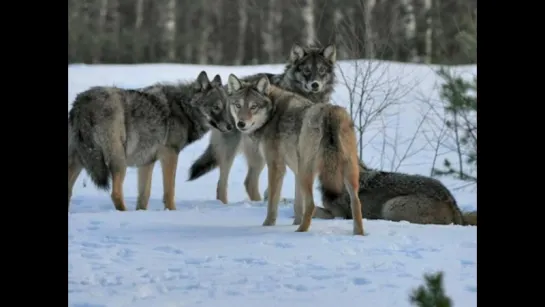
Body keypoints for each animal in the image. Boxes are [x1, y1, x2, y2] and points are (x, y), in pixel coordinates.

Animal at [67, 71, 232, 213]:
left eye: (227, 107)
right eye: (216, 107)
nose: (231, 126)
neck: (182, 109)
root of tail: (82, 103)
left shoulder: (147, 162)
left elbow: (144, 195)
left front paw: (142, 213)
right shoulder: (170, 155)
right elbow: (169, 191)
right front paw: (172, 212)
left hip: (80, 161)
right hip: (118, 161)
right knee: (115, 193)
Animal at [187, 43, 336, 206]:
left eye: (321, 70)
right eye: (307, 70)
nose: (315, 84)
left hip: (258, 154)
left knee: (249, 182)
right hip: (232, 151)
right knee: (222, 183)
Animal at [225, 73, 366, 237]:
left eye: (253, 106)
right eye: (238, 105)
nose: (241, 124)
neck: (272, 112)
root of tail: (330, 113)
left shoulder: (276, 166)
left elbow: (272, 202)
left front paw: (268, 225)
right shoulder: (296, 171)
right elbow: (298, 205)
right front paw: (295, 222)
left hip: (308, 171)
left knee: (311, 204)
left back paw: (300, 232)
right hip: (347, 172)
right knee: (356, 203)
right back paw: (358, 234)